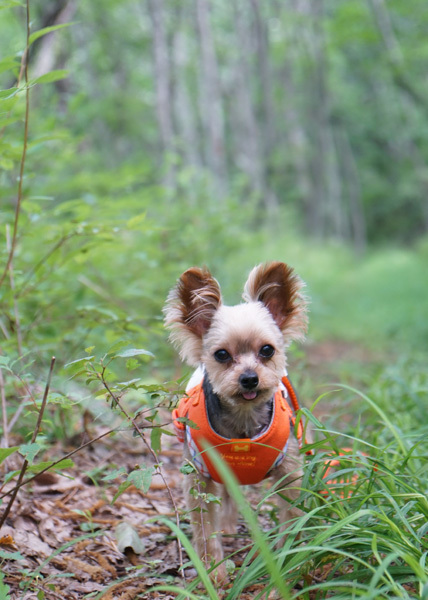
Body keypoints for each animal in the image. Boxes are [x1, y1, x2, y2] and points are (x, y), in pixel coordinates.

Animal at [164, 260, 308, 580]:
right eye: (221, 354)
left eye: (267, 349)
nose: (249, 378)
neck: (243, 421)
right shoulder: (199, 476)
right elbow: (205, 530)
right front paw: (213, 573)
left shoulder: (289, 470)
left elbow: (291, 516)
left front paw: (288, 561)